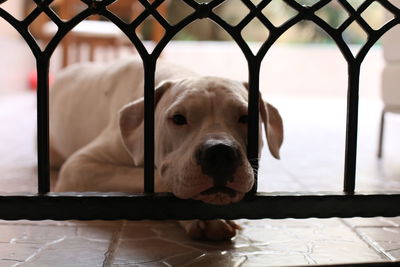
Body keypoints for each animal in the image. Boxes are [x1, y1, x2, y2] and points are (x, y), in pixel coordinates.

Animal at [50, 57, 282, 242]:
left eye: (246, 118)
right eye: (178, 118)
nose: (220, 153)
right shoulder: (79, 167)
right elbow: (157, 180)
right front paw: (206, 219)